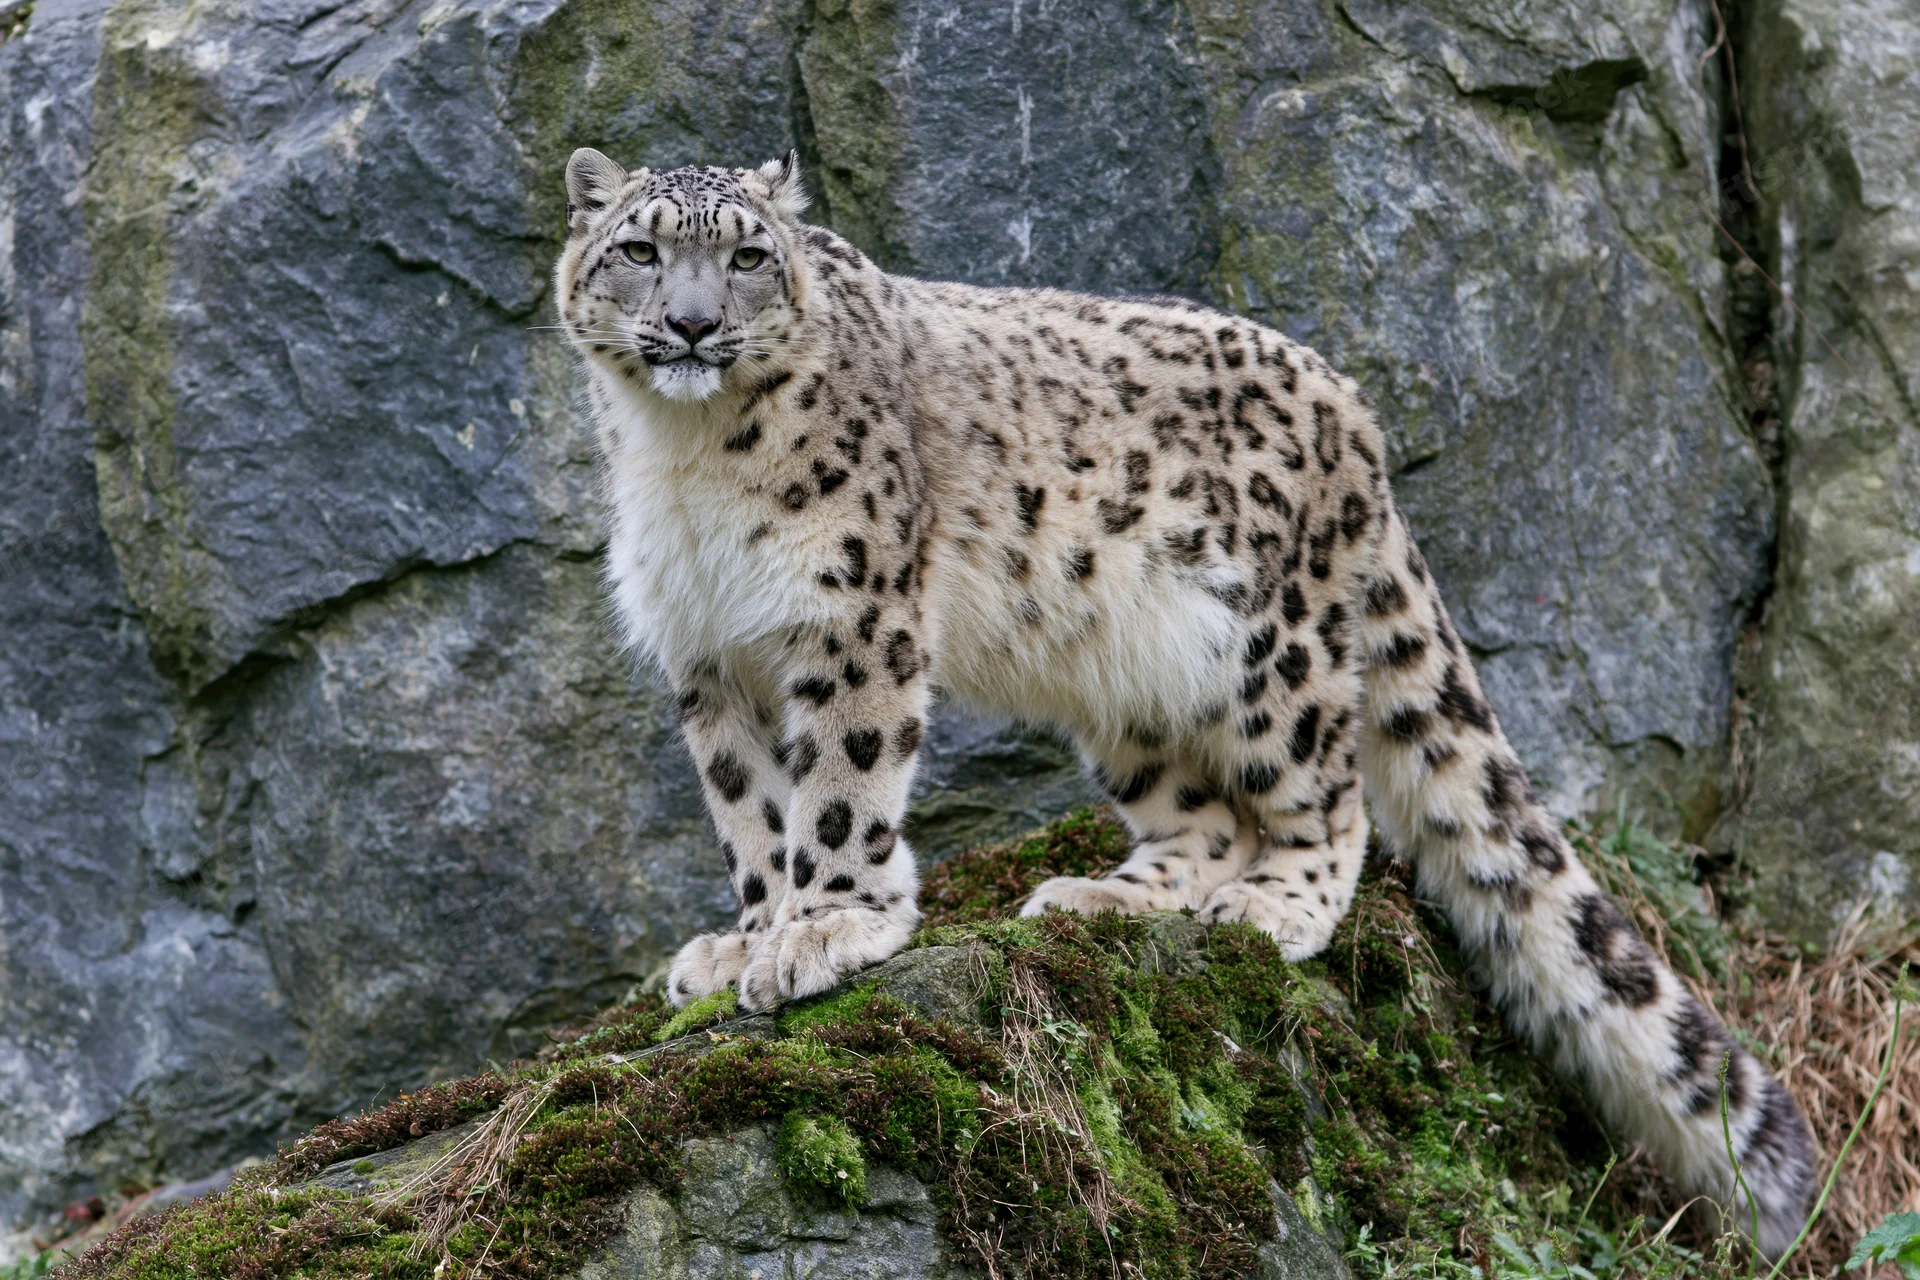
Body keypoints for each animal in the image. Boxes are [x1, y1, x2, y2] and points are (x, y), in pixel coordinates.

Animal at [552, 148, 1814, 1254]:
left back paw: (1275, 906)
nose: (694, 324)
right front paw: (748, 934)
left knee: (1327, 794)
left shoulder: (851, 613)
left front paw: (826, 926)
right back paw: (1103, 895)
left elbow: (839, 784)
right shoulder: (709, 658)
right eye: (640, 249)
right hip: (1126, 680)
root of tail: (1355, 411)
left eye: (748, 255)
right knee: (1200, 818)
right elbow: (750, 812)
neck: (686, 458)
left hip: (1270, 653)